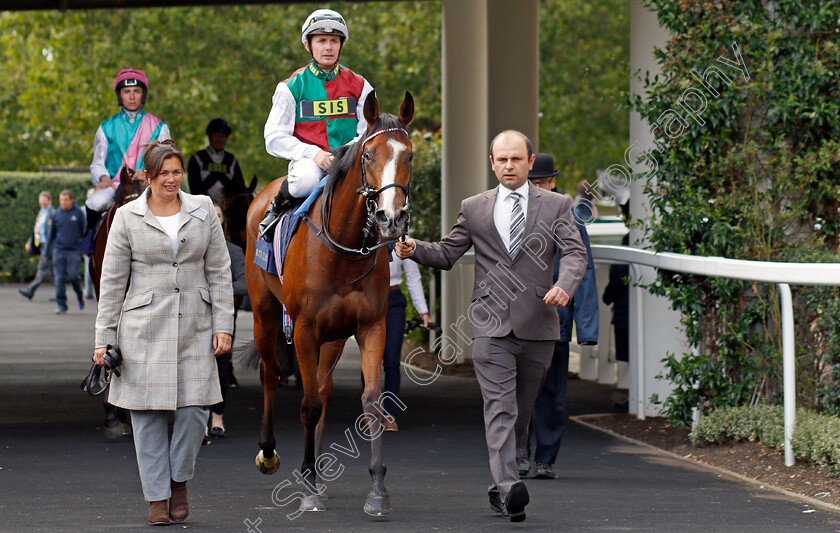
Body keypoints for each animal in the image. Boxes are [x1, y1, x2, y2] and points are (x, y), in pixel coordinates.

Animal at [243, 91, 414, 516]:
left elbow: (370, 402)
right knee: (271, 372)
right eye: (368, 155)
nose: (391, 217)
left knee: (322, 387)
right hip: (264, 313)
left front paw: (377, 489)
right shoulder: (304, 329)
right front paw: (306, 485)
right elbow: (307, 405)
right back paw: (270, 454)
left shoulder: (371, 326)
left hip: (334, 337)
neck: (344, 249)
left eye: (410, 155)